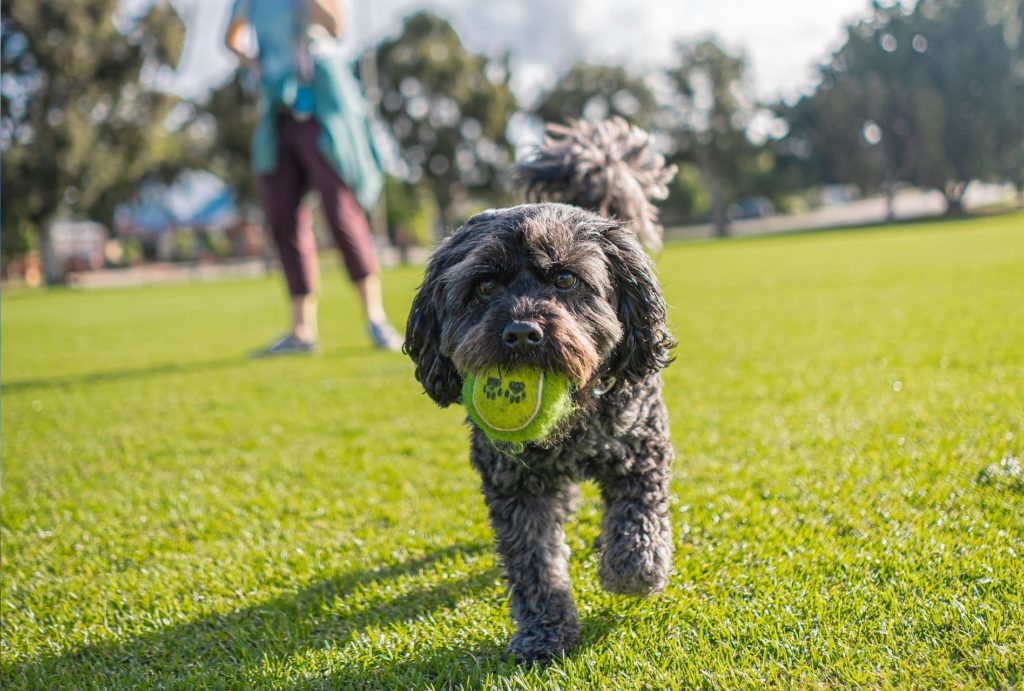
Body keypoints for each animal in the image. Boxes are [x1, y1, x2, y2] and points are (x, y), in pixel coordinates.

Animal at [403, 118, 675, 663]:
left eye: (566, 279)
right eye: (485, 286)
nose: (523, 332)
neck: (572, 420)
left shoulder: (642, 448)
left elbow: (638, 518)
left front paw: (631, 569)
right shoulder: (515, 485)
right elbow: (534, 566)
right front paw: (543, 634)